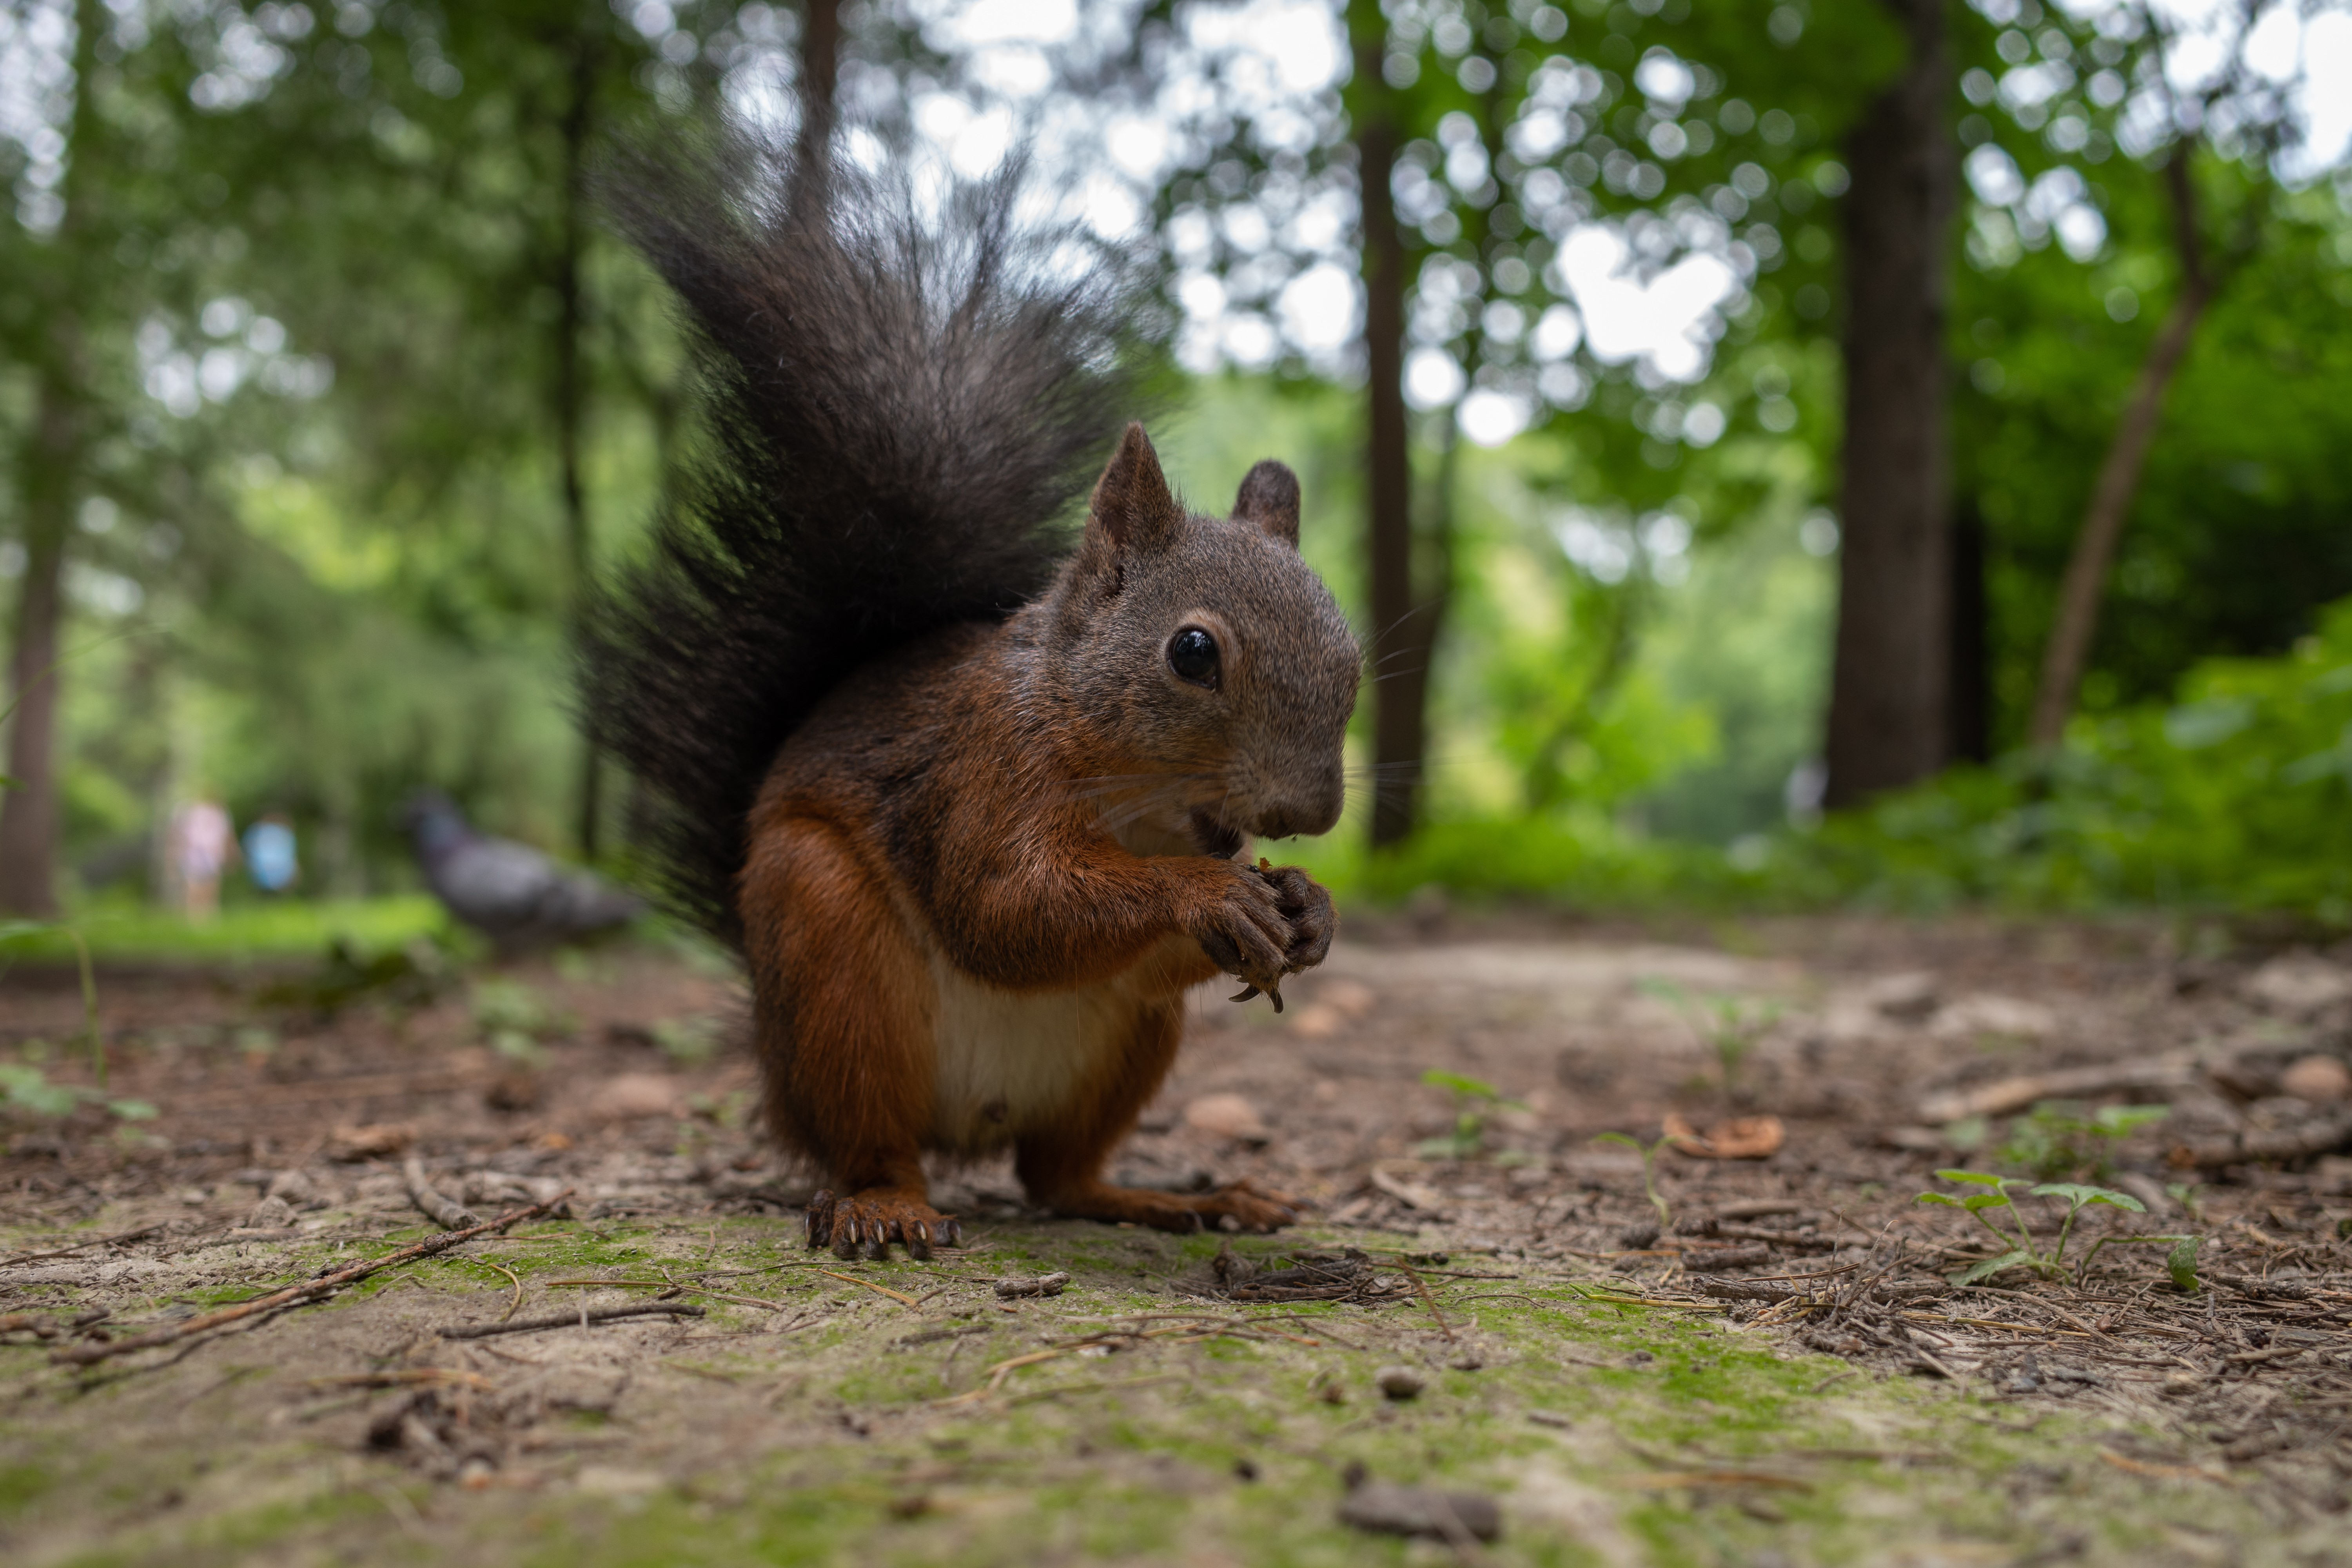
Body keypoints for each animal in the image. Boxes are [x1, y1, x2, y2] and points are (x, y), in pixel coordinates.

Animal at [581, 127, 1361, 1260]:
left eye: (1352, 653)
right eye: (1192, 651)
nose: (1310, 814)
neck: (1143, 799)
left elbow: (1129, 952)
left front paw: (1309, 908)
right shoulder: (982, 768)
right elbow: (1004, 907)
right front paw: (1210, 895)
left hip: (1123, 1055)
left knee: (1058, 1175)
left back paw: (1172, 1197)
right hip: (826, 950)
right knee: (874, 1141)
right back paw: (888, 1205)